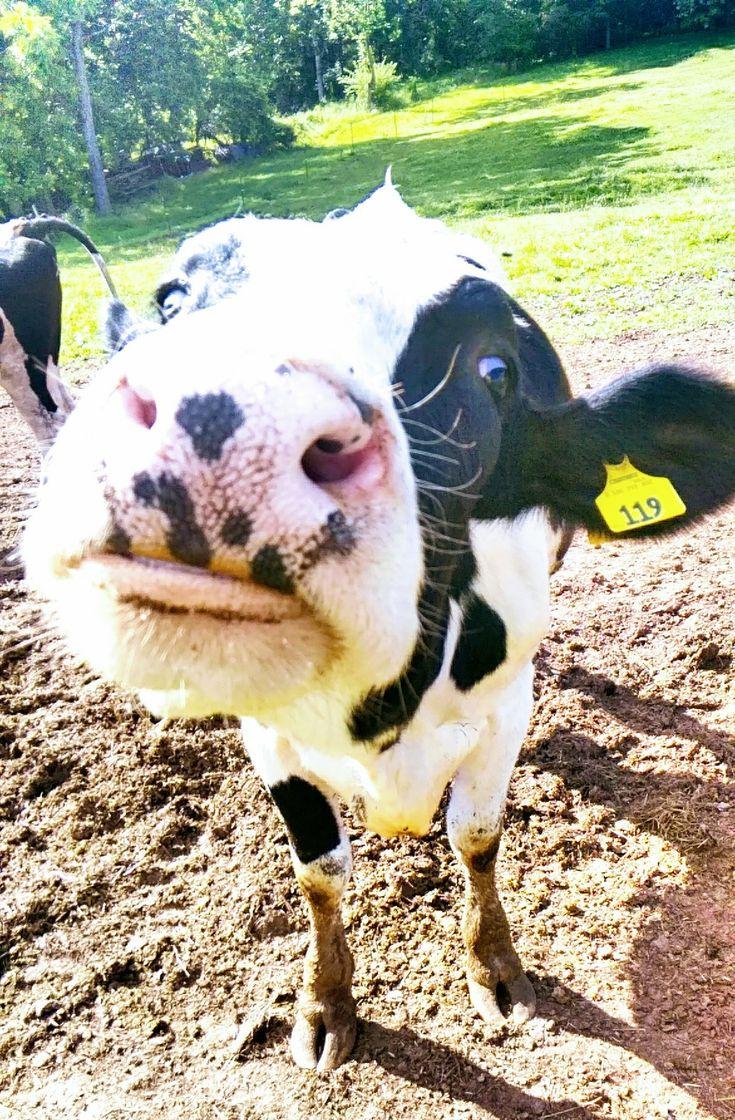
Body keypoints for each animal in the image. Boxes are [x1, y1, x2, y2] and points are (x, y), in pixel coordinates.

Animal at [19, 178, 735, 1073]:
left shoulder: (504, 710)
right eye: (174, 302)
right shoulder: (268, 732)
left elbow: (475, 833)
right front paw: (325, 1003)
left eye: (492, 370)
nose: (224, 415)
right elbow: (319, 869)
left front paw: (495, 969)